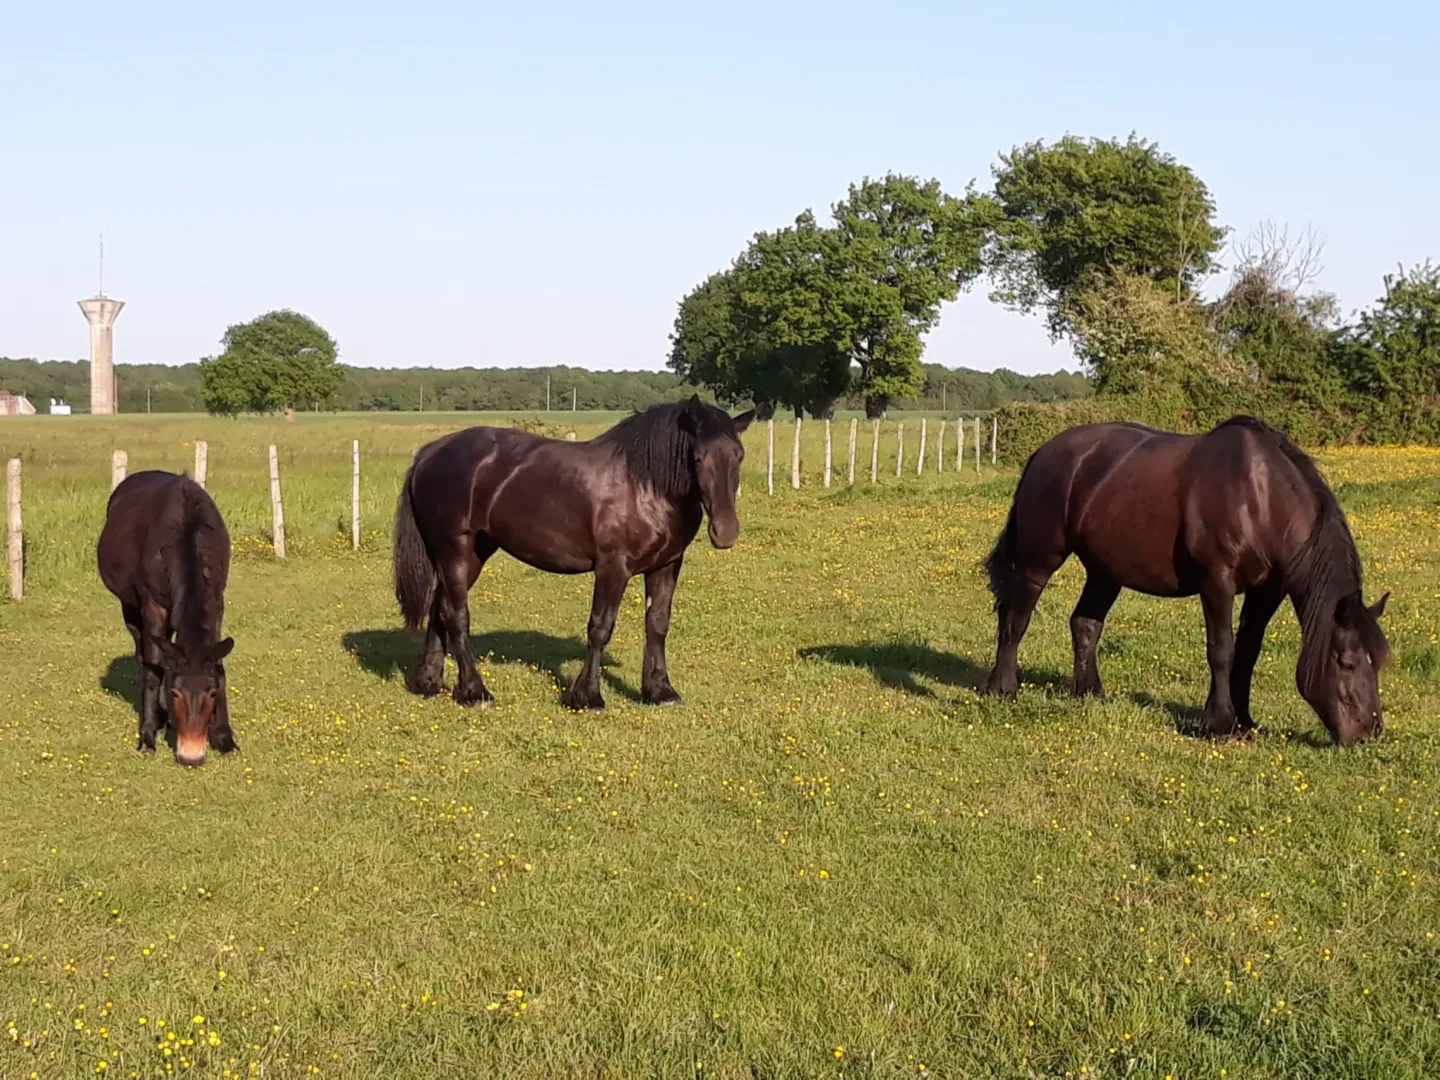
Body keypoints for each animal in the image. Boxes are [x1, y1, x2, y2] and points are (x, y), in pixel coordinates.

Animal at [97, 470, 237, 766]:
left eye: (211, 692)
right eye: (176, 693)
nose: (191, 756)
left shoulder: (216, 602)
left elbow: (218, 664)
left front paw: (225, 739)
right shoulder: (153, 606)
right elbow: (153, 668)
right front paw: (148, 737)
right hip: (130, 607)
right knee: (144, 656)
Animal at [393, 395, 754, 710]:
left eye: (739, 455)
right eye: (698, 457)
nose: (725, 531)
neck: (646, 486)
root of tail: (429, 453)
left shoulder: (666, 565)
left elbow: (657, 624)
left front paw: (659, 690)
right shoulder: (613, 567)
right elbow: (600, 628)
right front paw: (587, 696)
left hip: (472, 554)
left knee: (439, 608)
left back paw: (429, 682)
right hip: (454, 550)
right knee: (456, 615)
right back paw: (475, 691)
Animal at [983, 416, 1391, 746]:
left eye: (1379, 662)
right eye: (1347, 662)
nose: (1368, 732)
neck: (1260, 497)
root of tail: (1044, 452)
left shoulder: (1266, 592)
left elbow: (1248, 652)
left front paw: (1244, 721)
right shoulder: (1217, 582)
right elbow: (1222, 650)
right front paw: (1219, 724)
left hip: (1105, 571)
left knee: (1085, 623)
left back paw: (1091, 693)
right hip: (1039, 560)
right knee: (1016, 618)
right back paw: (1002, 689)